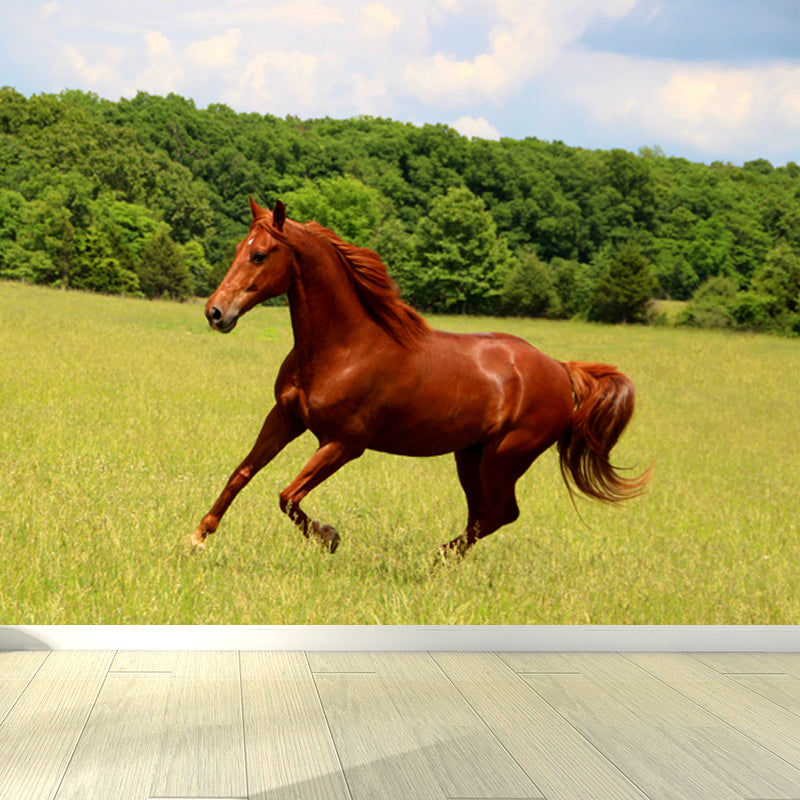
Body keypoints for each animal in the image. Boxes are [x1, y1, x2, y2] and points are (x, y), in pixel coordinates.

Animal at [191, 197, 650, 558]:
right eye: (239, 248)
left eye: (260, 255)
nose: (215, 312)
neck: (344, 348)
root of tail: (560, 368)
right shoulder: (285, 418)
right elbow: (241, 473)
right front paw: (198, 536)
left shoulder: (343, 444)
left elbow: (288, 496)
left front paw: (330, 536)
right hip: (470, 456)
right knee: (483, 514)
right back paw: (441, 559)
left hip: (504, 459)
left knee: (500, 514)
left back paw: (437, 558)